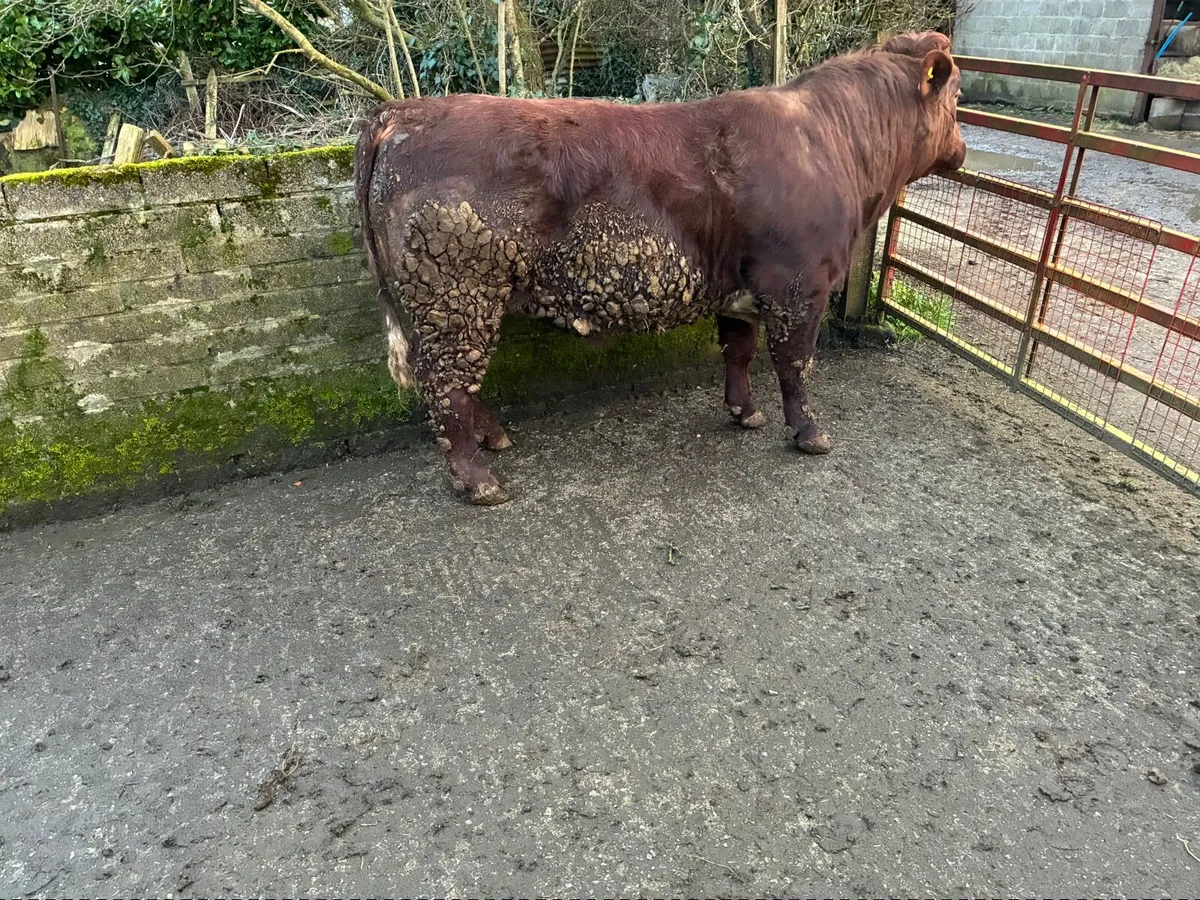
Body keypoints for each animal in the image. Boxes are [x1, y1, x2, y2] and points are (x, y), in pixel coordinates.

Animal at [354, 31, 966, 505]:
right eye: (959, 95)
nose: (962, 151)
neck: (831, 141)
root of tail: (401, 112)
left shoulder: (739, 287)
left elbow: (739, 351)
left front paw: (745, 412)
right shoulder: (800, 286)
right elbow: (795, 366)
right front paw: (809, 434)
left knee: (458, 382)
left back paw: (494, 439)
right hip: (456, 293)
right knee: (447, 384)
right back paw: (479, 481)